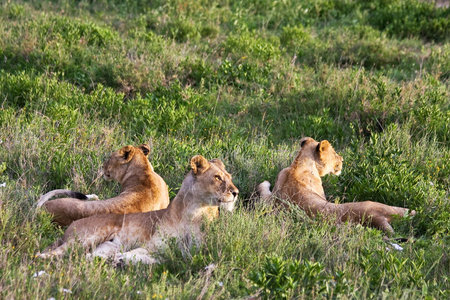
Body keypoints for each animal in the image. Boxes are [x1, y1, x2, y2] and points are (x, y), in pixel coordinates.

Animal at [36, 156, 239, 264]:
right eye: (218, 177)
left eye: (229, 177)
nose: (236, 192)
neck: (195, 212)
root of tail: (72, 226)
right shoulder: (153, 245)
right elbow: (139, 253)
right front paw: (122, 260)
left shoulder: (193, 252)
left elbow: (161, 259)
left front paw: (122, 261)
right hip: (88, 237)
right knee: (51, 253)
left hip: (104, 245)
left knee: (88, 256)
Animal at [258, 137, 416, 233]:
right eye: (334, 153)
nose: (342, 159)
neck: (297, 165)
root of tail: (376, 220)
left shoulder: (270, 199)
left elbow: (262, 189)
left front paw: (265, 182)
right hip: (376, 206)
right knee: (405, 212)